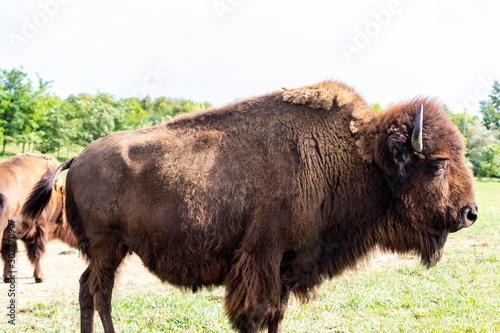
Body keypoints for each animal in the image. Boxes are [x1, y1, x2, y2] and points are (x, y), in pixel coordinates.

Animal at [1, 153, 76, 282]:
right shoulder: (40, 228)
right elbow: (37, 253)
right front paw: (40, 277)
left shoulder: (10, 235)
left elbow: (9, 254)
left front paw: (8, 277)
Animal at [22, 81, 476, 332]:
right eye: (438, 164)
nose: (470, 213)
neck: (351, 157)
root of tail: (78, 157)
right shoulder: (261, 258)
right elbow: (256, 314)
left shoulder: (286, 264)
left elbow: (277, 314)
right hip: (106, 247)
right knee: (97, 293)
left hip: (111, 251)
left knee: (89, 291)